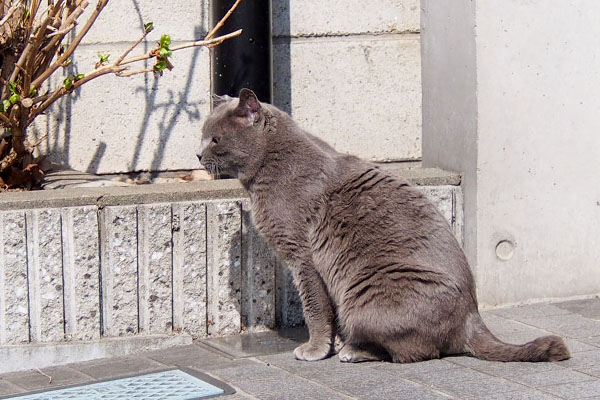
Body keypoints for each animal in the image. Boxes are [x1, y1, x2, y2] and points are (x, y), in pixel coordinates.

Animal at [199, 89, 568, 364]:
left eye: (215, 139)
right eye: (202, 136)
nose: (198, 154)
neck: (271, 167)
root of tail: (472, 317)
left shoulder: (302, 256)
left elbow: (314, 307)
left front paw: (316, 349)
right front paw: (328, 345)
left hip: (365, 297)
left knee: (417, 351)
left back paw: (353, 350)